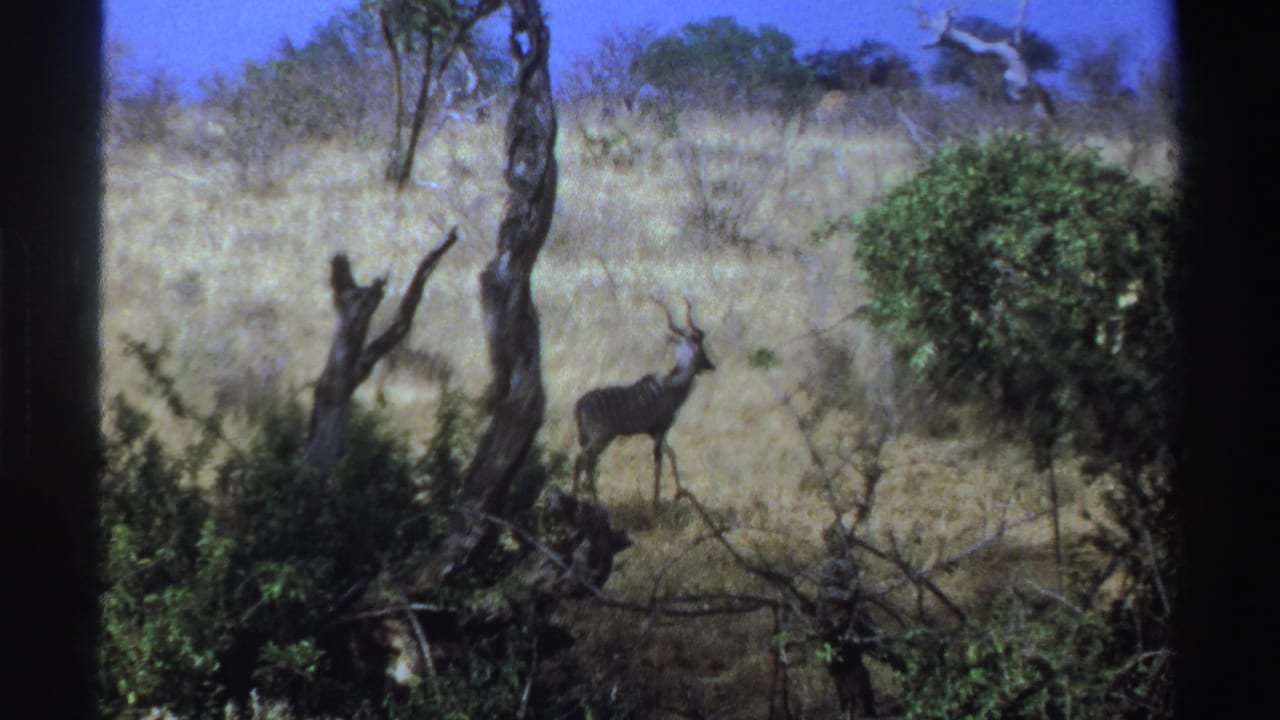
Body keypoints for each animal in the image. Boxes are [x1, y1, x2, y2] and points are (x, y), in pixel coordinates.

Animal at [572, 297, 715, 514]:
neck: (671, 386)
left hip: (596, 438)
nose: (711, 365)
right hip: (601, 437)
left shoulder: (654, 432)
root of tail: (579, 406)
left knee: (590, 463)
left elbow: (671, 454)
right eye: (701, 349)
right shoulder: (661, 429)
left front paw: (678, 493)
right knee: (582, 460)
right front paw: (656, 505)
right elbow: (659, 462)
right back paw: (578, 499)